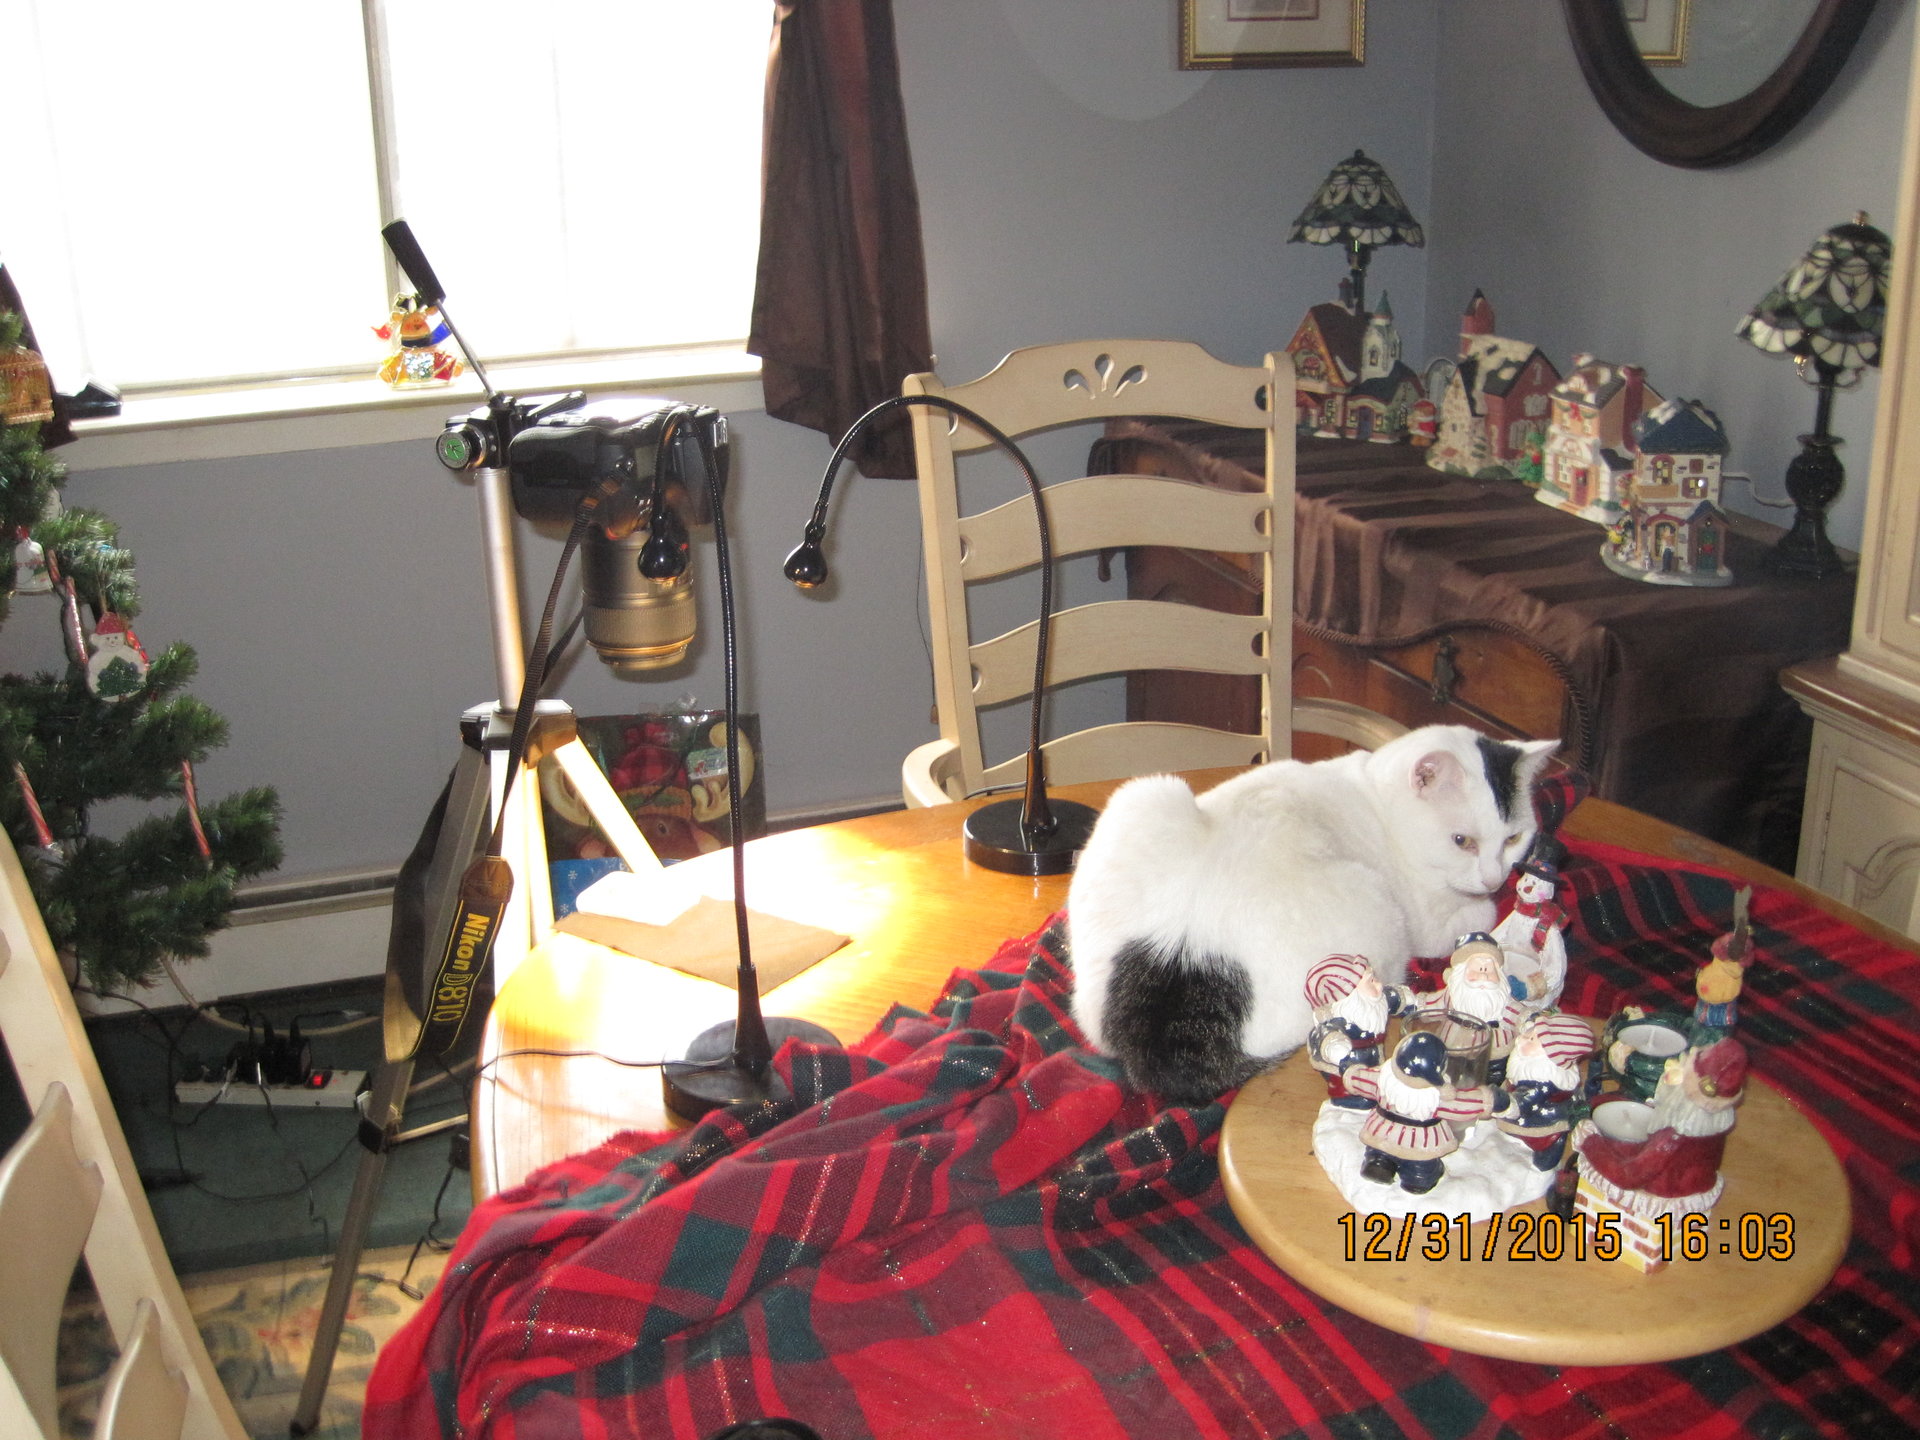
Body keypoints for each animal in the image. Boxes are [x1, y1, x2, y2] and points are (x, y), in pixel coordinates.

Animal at [1066, 724, 1557, 1106]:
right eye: (1462, 841)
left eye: (1513, 838)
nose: (1495, 876)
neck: (1374, 794)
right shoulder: (1433, 921)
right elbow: (1478, 916)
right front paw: (1492, 904)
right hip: (1378, 903)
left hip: (1144, 795)